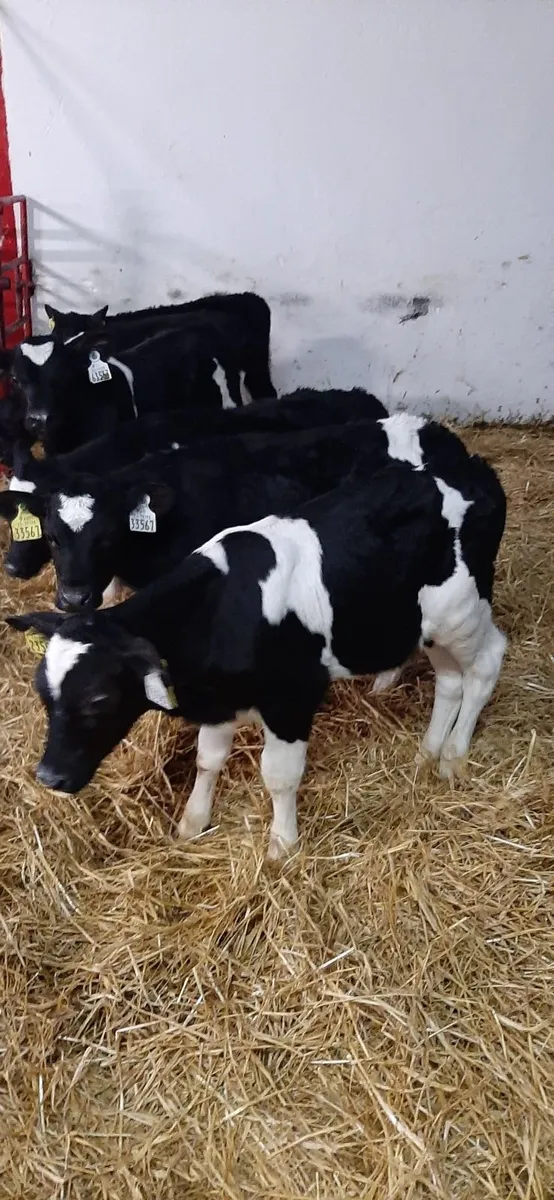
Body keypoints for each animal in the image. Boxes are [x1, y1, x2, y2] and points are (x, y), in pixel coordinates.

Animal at [7, 428, 507, 858]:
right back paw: (428, 751)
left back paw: (453, 756)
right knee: (450, 682)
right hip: (428, 625)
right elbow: (208, 760)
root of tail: (473, 470)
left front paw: (283, 845)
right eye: (43, 695)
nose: (48, 775)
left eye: (98, 698)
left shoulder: (293, 697)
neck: (221, 609)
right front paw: (193, 821)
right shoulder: (219, 701)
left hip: (464, 612)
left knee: (485, 665)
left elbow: (279, 777)